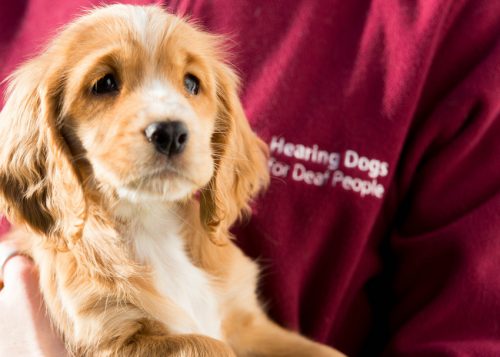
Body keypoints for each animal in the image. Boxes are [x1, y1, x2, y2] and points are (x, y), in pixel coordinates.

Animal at [0, 5, 344, 356]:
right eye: (105, 83)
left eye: (191, 83)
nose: (170, 133)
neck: (150, 222)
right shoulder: (110, 338)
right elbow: (207, 344)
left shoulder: (245, 320)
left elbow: (324, 351)